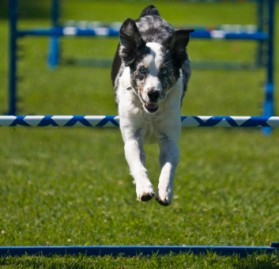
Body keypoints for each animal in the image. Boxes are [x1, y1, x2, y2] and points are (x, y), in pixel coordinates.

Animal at [111, 5, 192, 204]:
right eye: (142, 70)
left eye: (165, 71)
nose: (153, 93)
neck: (150, 115)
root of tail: (151, 13)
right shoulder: (132, 136)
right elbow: (137, 164)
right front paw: (145, 189)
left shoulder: (169, 138)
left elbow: (168, 167)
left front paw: (165, 191)